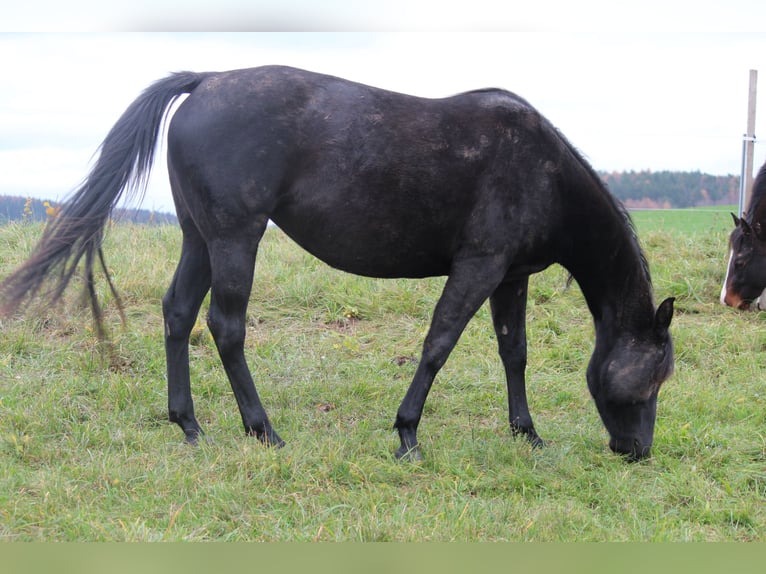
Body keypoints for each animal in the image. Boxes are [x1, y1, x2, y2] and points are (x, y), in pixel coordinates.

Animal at [0, 65, 675, 461]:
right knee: (225, 327)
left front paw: (527, 433)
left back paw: (188, 424)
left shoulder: (509, 277)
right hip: (235, 239)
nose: (637, 450)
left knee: (177, 314)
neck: (542, 169)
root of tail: (207, 81)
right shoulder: (479, 268)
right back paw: (262, 429)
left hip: (198, 238)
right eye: (657, 375)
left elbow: (515, 352)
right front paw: (407, 433)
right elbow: (439, 343)